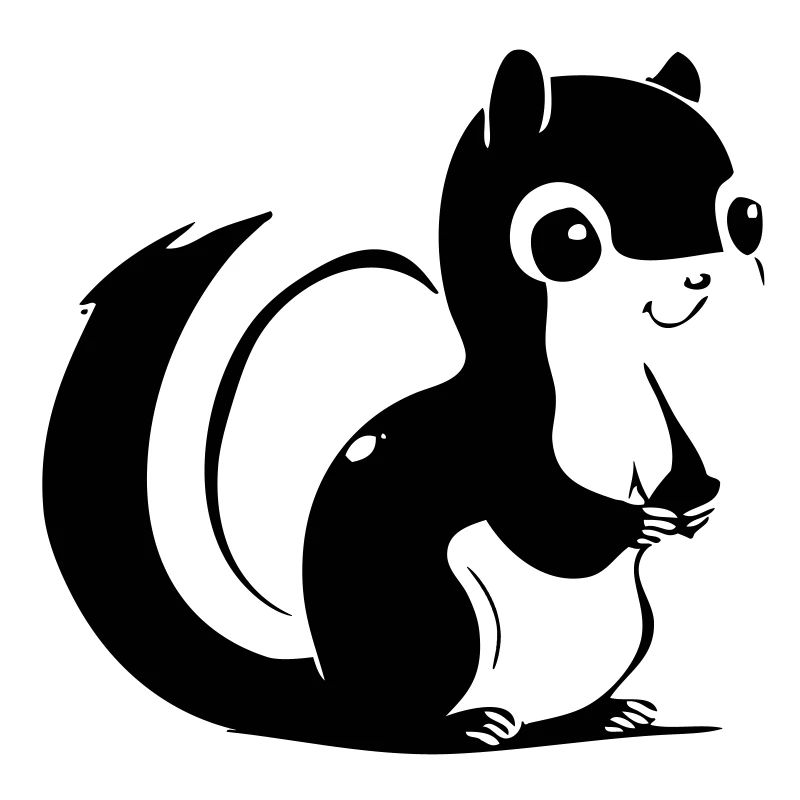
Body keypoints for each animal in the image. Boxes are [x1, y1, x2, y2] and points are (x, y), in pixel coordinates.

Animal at [43, 50, 764, 753]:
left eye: (747, 218)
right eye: (570, 235)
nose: (698, 277)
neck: (600, 373)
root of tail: (331, 691)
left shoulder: (661, 417)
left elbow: (682, 468)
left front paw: (697, 504)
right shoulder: (499, 445)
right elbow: (548, 529)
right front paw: (638, 523)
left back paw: (605, 714)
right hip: (434, 617)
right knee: (403, 718)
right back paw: (467, 726)